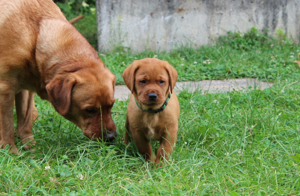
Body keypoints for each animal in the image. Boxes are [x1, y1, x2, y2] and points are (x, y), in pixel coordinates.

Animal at [0, 0, 116, 153]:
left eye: (111, 105)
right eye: (89, 110)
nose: (111, 137)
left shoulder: (24, 89)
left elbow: (24, 121)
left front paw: (31, 147)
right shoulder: (5, 88)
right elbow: (7, 126)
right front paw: (11, 151)